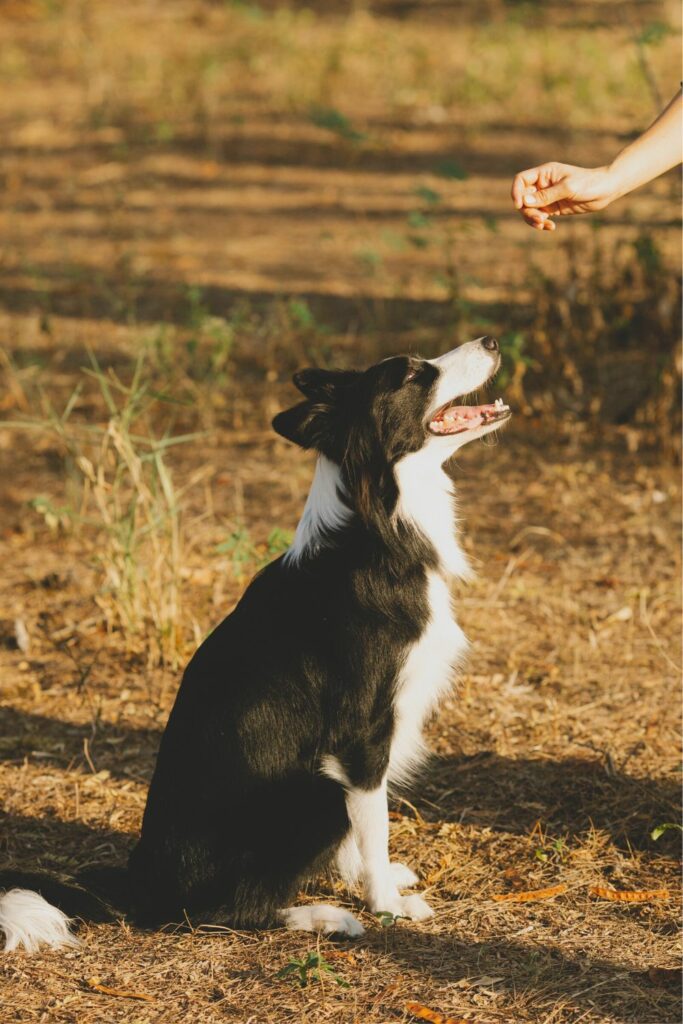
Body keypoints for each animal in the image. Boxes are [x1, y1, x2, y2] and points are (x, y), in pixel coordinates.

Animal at [0, 337, 507, 950]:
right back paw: (321, 916)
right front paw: (385, 902)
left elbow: (362, 840)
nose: (491, 341)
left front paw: (369, 878)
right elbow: (374, 825)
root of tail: (142, 884)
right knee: (221, 912)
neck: (380, 527)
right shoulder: (361, 738)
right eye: (412, 374)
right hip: (315, 796)